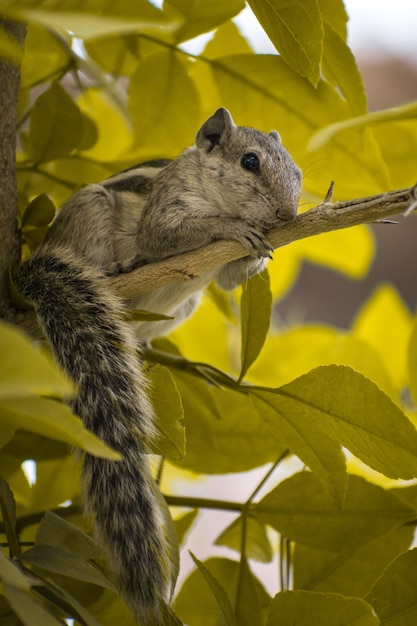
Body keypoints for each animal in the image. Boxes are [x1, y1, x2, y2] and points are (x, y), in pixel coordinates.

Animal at [12, 109, 300, 620]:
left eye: (298, 173)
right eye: (250, 162)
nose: (289, 216)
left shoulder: (227, 273)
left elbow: (232, 279)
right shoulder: (166, 207)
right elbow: (163, 235)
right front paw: (229, 227)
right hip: (90, 212)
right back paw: (115, 271)